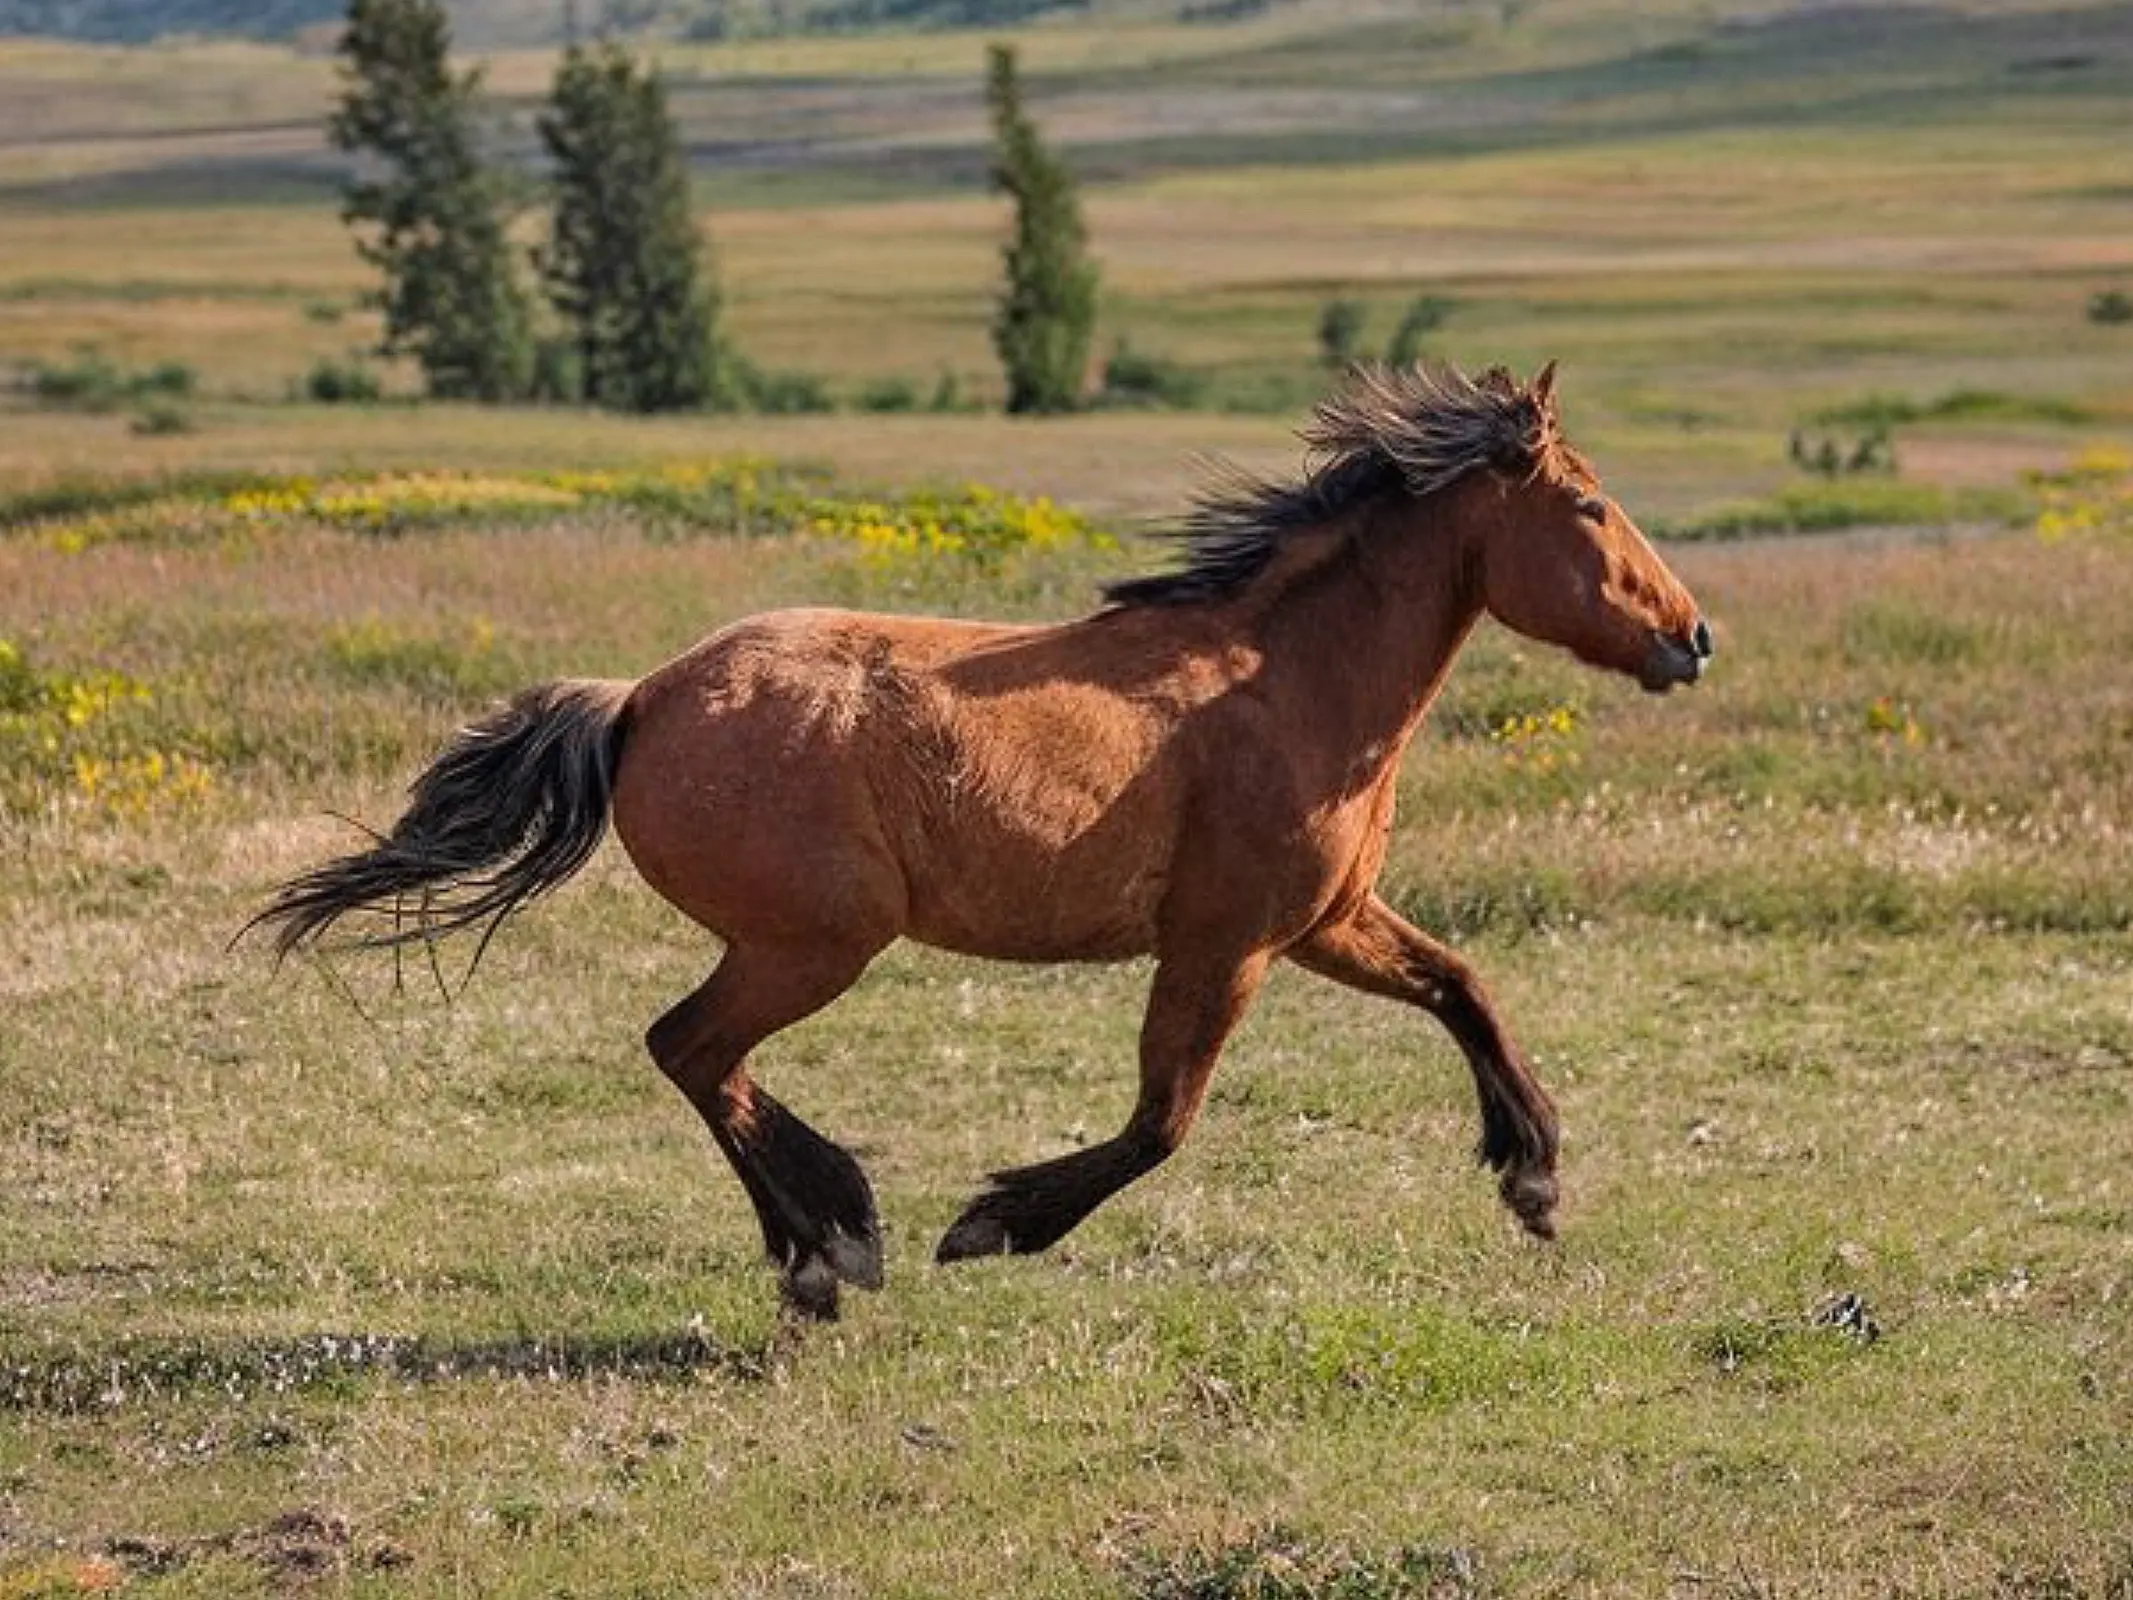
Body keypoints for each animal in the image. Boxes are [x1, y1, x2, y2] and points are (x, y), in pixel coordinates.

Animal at [249, 366, 1714, 1331]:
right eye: (1589, 508)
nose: (1692, 636)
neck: (1285, 681)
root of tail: (641, 697)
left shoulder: (1327, 922)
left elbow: (1463, 987)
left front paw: (1534, 1176)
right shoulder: (1225, 942)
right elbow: (1162, 1121)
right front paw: (991, 1223)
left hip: (799, 946)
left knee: (699, 1060)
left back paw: (818, 1245)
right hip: (814, 943)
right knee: (691, 1049)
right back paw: (831, 1248)